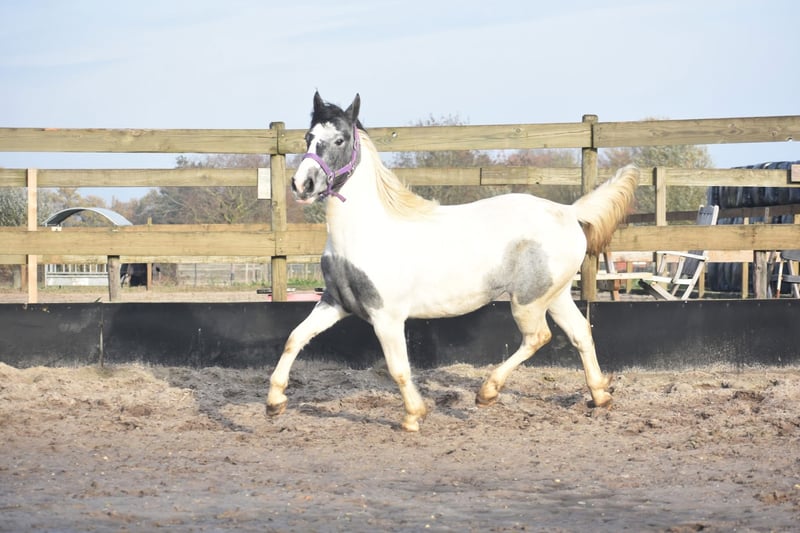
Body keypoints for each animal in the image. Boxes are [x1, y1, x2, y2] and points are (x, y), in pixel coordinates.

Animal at [267, 91, 639, 432]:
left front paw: (413, 416)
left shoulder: (386, 316)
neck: (365, 232)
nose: (302, 184)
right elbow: (294, 338)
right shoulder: (335, 303)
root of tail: (568, 211)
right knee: (580, 332)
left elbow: (398, 368)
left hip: (527, 301)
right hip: (555, 294)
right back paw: (600, 396)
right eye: (308, 137)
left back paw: (487, 392)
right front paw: (274, 403)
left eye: (340, 139)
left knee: (538, 337)